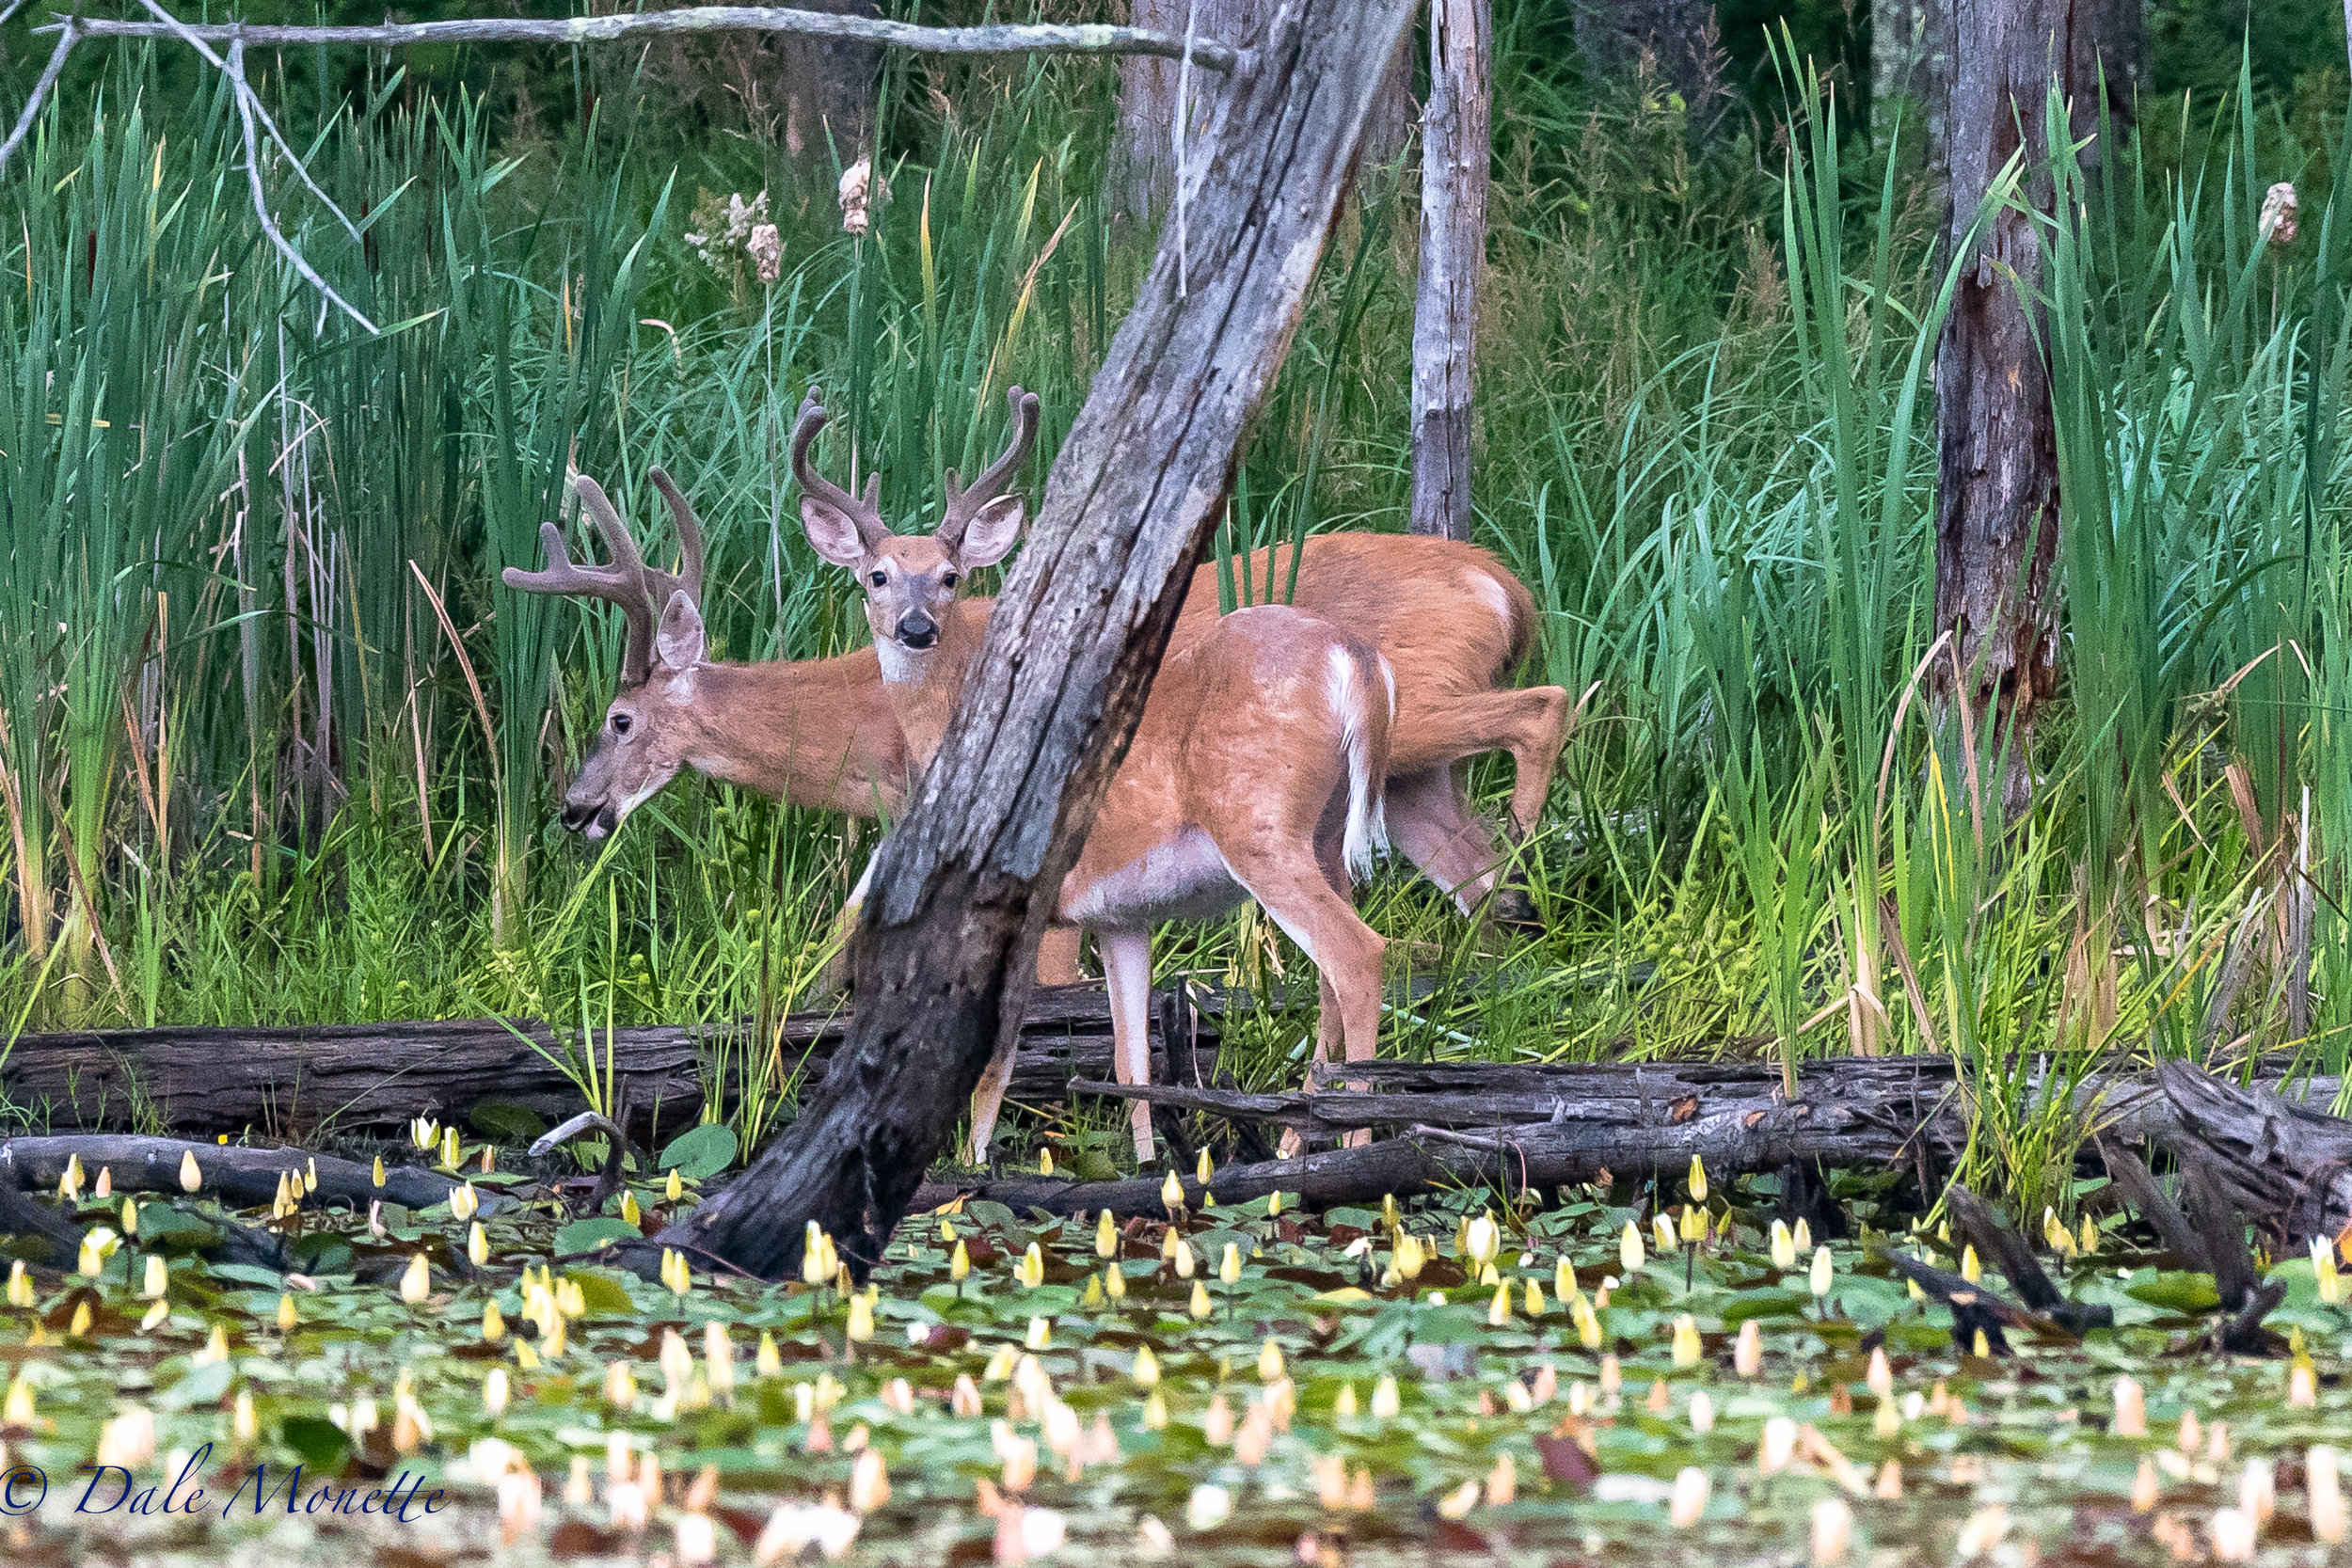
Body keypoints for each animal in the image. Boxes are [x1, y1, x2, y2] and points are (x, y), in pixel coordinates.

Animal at [800, 385, 1402, 1161]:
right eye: (877, 576)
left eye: (950, 577)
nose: (915, 627)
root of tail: (1356, 655)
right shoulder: (1121, 917)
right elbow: (1129, 1057)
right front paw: (1147, 1163)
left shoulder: (1026, 898)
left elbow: (995, 1061)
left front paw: (971, 1165)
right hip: (1325, 833)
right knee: (1330, 975)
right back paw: (1299, 1139)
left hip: (1260, 823)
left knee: (1358, 956)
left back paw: (1350, 1143)